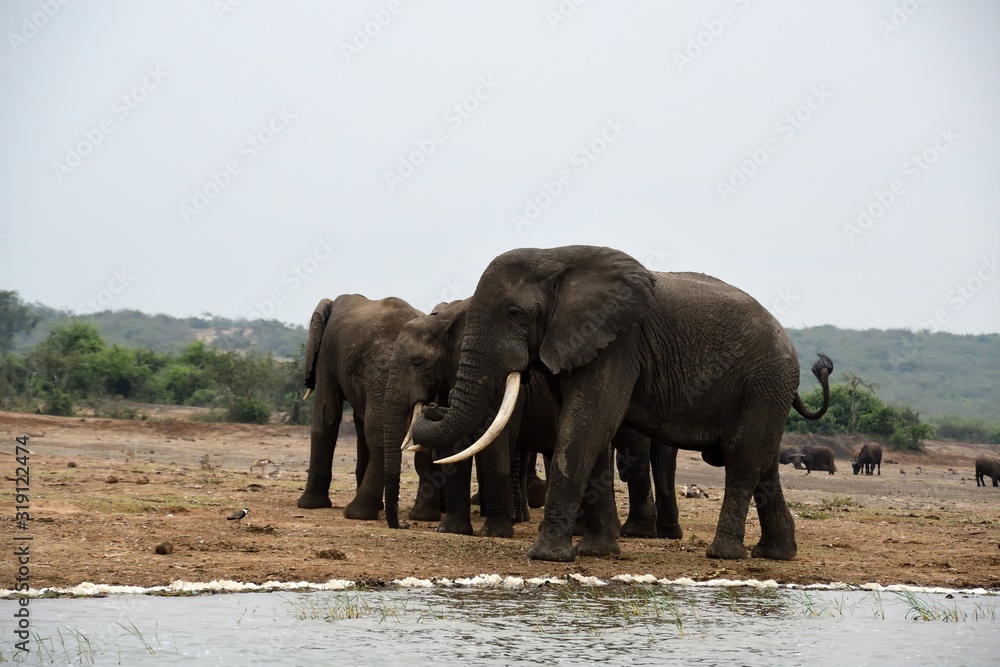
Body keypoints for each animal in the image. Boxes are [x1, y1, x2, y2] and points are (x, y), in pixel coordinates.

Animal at [297, 295, 443, 521]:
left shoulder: (326, 354)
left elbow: (326, 414)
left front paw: (308, 505)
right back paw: (421, 516)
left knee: (375, 433)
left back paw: (358, 513)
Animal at [383, 299, 681, 540]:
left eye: (419, 363)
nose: (430, 406)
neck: (443, 319)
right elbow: (454, 446)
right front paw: (451, 531)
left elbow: (493, 443)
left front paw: (495, 534)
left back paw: (631, 532)